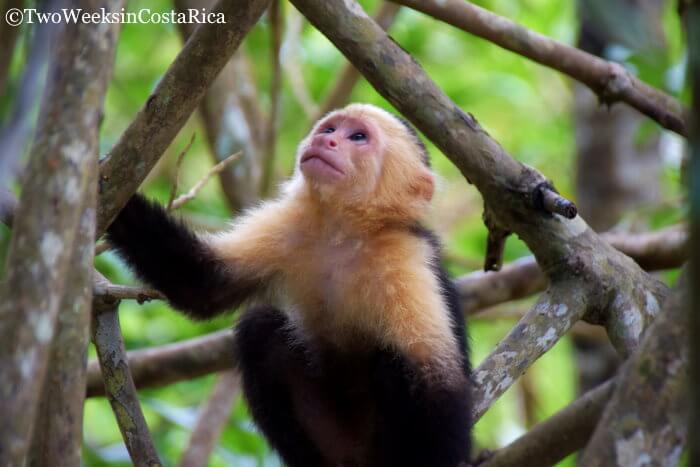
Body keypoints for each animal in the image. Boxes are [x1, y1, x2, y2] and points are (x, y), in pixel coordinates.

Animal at [106, 103, 472, 467]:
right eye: (330, 130)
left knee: (394, 361)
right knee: (261, 329)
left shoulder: (407, 258)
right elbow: (202, 283)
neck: (344, 232)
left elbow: (437, 381)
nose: (326, 141)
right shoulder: (287, 225)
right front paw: (104, 187)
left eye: (358, 137)